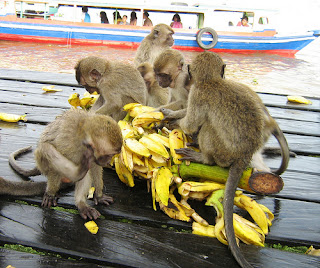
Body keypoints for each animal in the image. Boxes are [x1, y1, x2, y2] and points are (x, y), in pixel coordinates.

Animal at [172, 51, 290, 268]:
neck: (212, 81)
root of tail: (244, 156)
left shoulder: (197, 93)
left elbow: (191, 123)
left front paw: (173, 118)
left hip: (222, 153)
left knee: (207, 126)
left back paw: (205, 157)